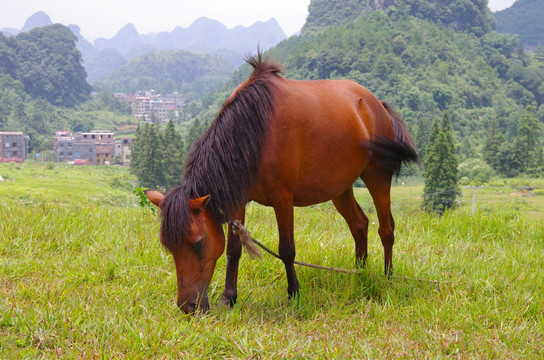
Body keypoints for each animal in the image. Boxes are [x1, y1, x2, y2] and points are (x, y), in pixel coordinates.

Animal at [143, 52, 416, 314]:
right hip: (339, 188)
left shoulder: (283, 198)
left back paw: (387, 278)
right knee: (359, 225)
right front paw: (229, 298)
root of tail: (376, 104)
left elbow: (287, 249)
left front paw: (294, 294)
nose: (188, 306)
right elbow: (234, 249)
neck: (255, 131)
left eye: (198, 243)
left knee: (386, 230)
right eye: (168, 247)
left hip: (377, 176)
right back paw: (359, 275)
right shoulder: (237, 198)